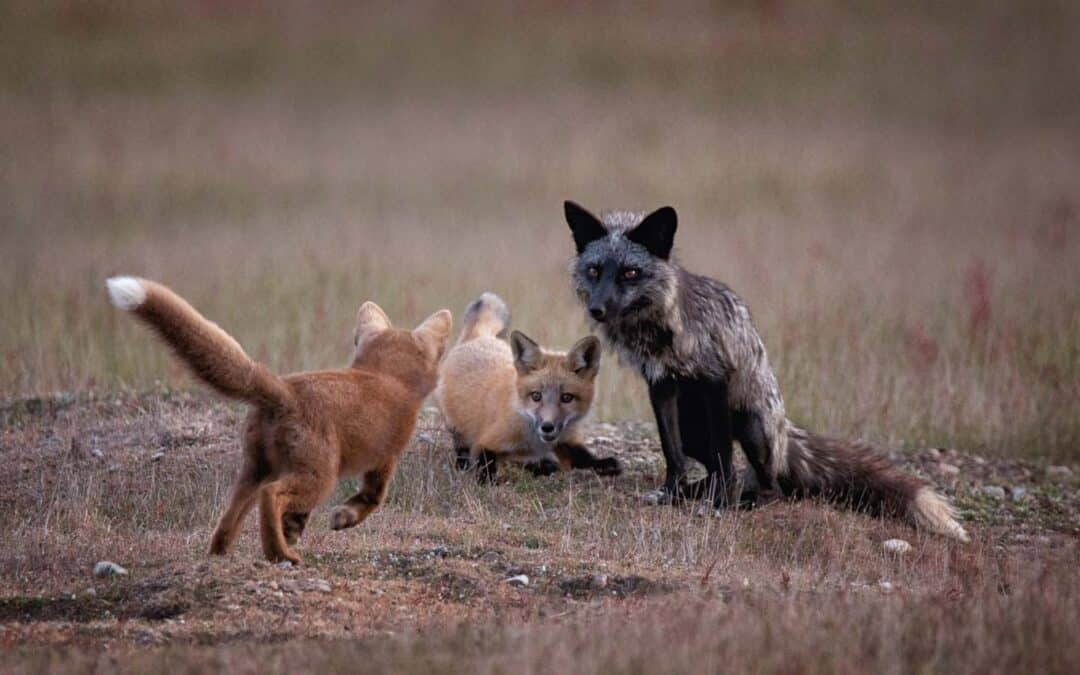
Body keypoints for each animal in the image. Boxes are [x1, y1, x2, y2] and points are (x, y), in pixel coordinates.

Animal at [565, 200, 972, 542]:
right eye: (595, 270)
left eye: (631, 273)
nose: (597, 309)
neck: (660, 329)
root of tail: (785, 430)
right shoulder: (661, 384)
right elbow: (672, 452)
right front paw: (672, 494)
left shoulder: (716, 380)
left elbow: (725, 461)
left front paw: (721, 508)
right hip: (694, 428)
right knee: (718, 469)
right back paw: (699, 493)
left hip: (750, 424)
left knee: (770, 487)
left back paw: (741, 500)